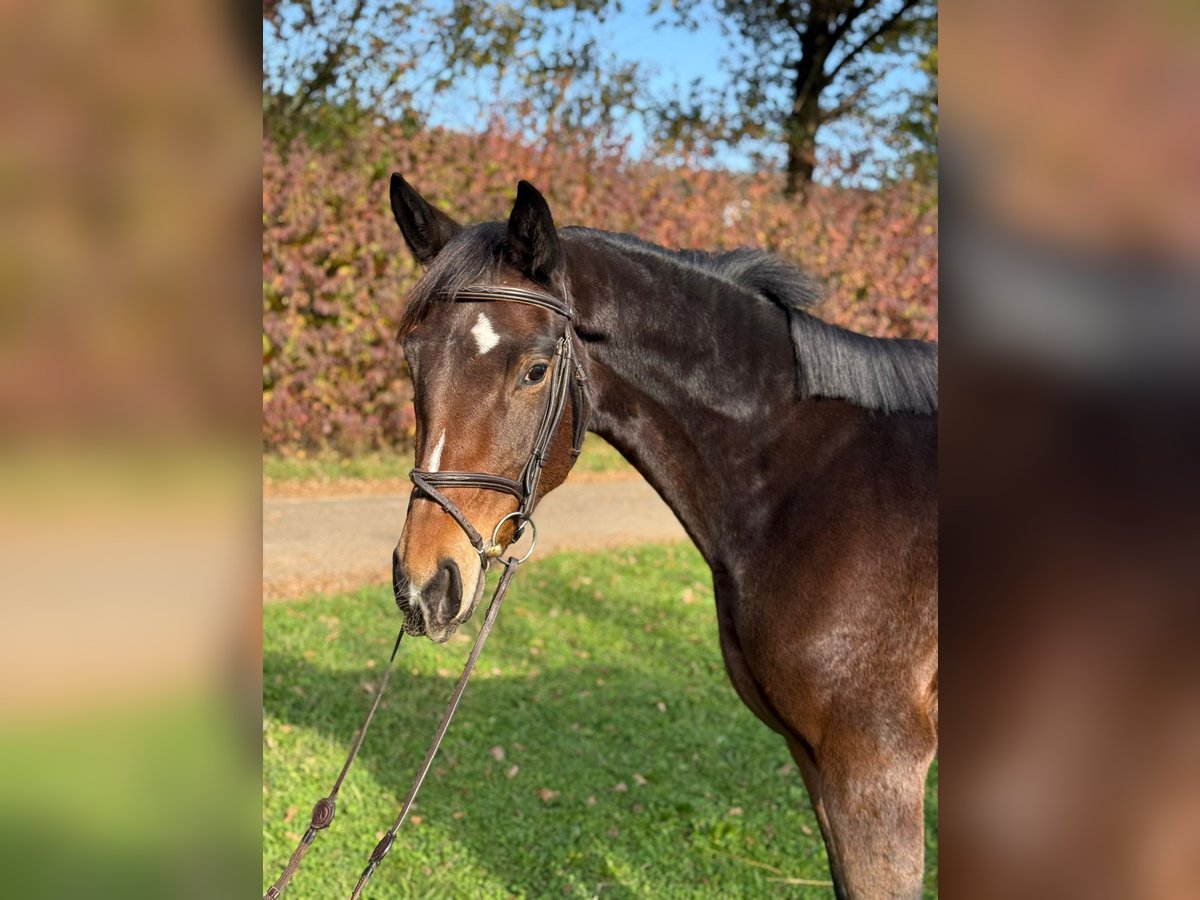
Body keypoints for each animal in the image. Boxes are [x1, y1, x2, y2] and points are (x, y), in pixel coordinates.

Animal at [391, 172, 936, 897]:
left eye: (535, 370)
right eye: (413, 362)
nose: (425, 583)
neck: (811, 484)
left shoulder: (876, 767)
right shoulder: (815, 759)